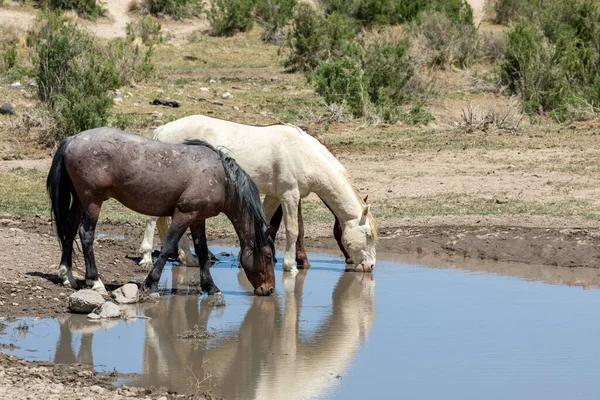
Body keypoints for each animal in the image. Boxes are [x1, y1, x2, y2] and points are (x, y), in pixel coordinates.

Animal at [47, 128, 276, 296]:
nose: (270, 289)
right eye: (267, 255)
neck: (221, 178)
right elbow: (167, 247)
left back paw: (67, 276)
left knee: (69, 230)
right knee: (85, 234)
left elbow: (202, 252)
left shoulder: (198, 219)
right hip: (92, 202)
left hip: (80, 201)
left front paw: (210, 287)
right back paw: (95, 282)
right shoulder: (184, 214)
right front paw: (151, 284)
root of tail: (73, 139)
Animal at [138, 114, 378, 274]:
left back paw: (187, 258)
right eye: (367, 235)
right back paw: (147, 257)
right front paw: (291, 266)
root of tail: (163, 130)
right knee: (152, 219)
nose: (370, 266)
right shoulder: (290, 195)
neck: (305, 155)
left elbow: (265, 224)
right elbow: (293, 230)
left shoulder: (274, 196)